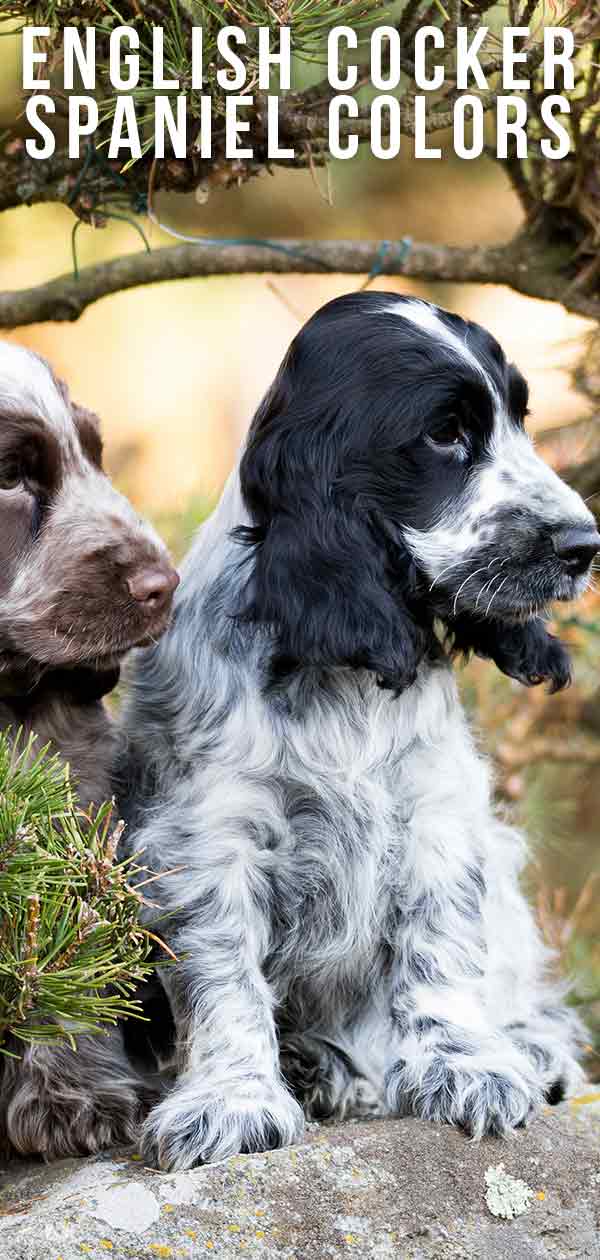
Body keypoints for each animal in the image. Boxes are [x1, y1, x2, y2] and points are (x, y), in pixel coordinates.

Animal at [119, 289, 597, 1164]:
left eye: (519, 417)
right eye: (444, 434)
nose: (587, 545)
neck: (344, 664)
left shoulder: (437, 809)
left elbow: (442, 946)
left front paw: (468, 1068)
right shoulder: (207, 835)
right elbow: (223, 971)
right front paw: (232, 1101)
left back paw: (529, 1050)